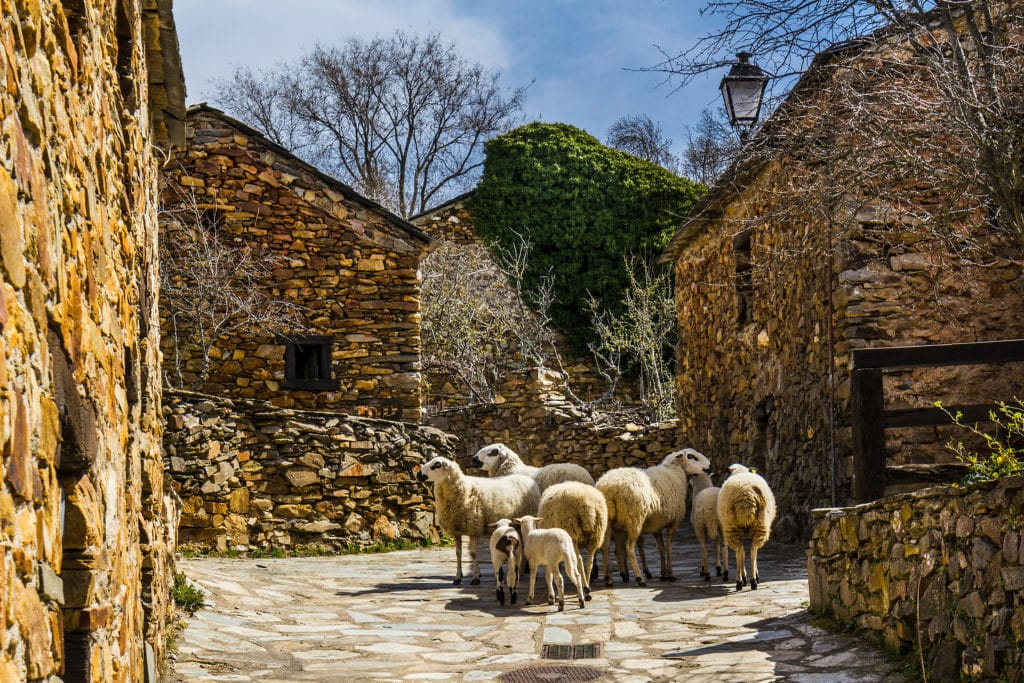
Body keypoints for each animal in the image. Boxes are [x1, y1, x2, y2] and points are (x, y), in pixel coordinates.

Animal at [417, 456, 544, 585]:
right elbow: (458, 553)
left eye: (437, 465)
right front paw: (458, 577)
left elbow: (473, 553)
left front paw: (476, 577)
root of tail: (527, 479)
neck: (465, 490)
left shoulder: (473, 528)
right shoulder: (456, 530)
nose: (418, 474)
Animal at [598, 448, 708, 589]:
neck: (676, 474)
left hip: (608, 523)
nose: (709, 467)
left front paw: (663, 574)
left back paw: (609, 579)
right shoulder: (674, 522)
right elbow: (668, 547)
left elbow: (661, 547)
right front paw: (670, 574)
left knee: (605, 548)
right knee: (629, 548)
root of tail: (609, 488)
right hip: (634, 519)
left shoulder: (657, 524)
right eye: (691, 457)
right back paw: (640, 578)